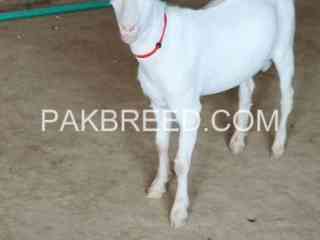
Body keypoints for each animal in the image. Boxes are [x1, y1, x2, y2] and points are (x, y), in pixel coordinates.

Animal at [110, 0, 296, 227]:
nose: (128, 30)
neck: (161, 42)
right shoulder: (158, 104)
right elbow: (161, 146)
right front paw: (158, 185)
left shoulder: (189, 109)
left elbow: (181, 163)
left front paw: (179, 211)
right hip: (244, 63)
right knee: (247, 89)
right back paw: (237, 140)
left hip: (284, 48)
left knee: (286, 96)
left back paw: (278, 145)